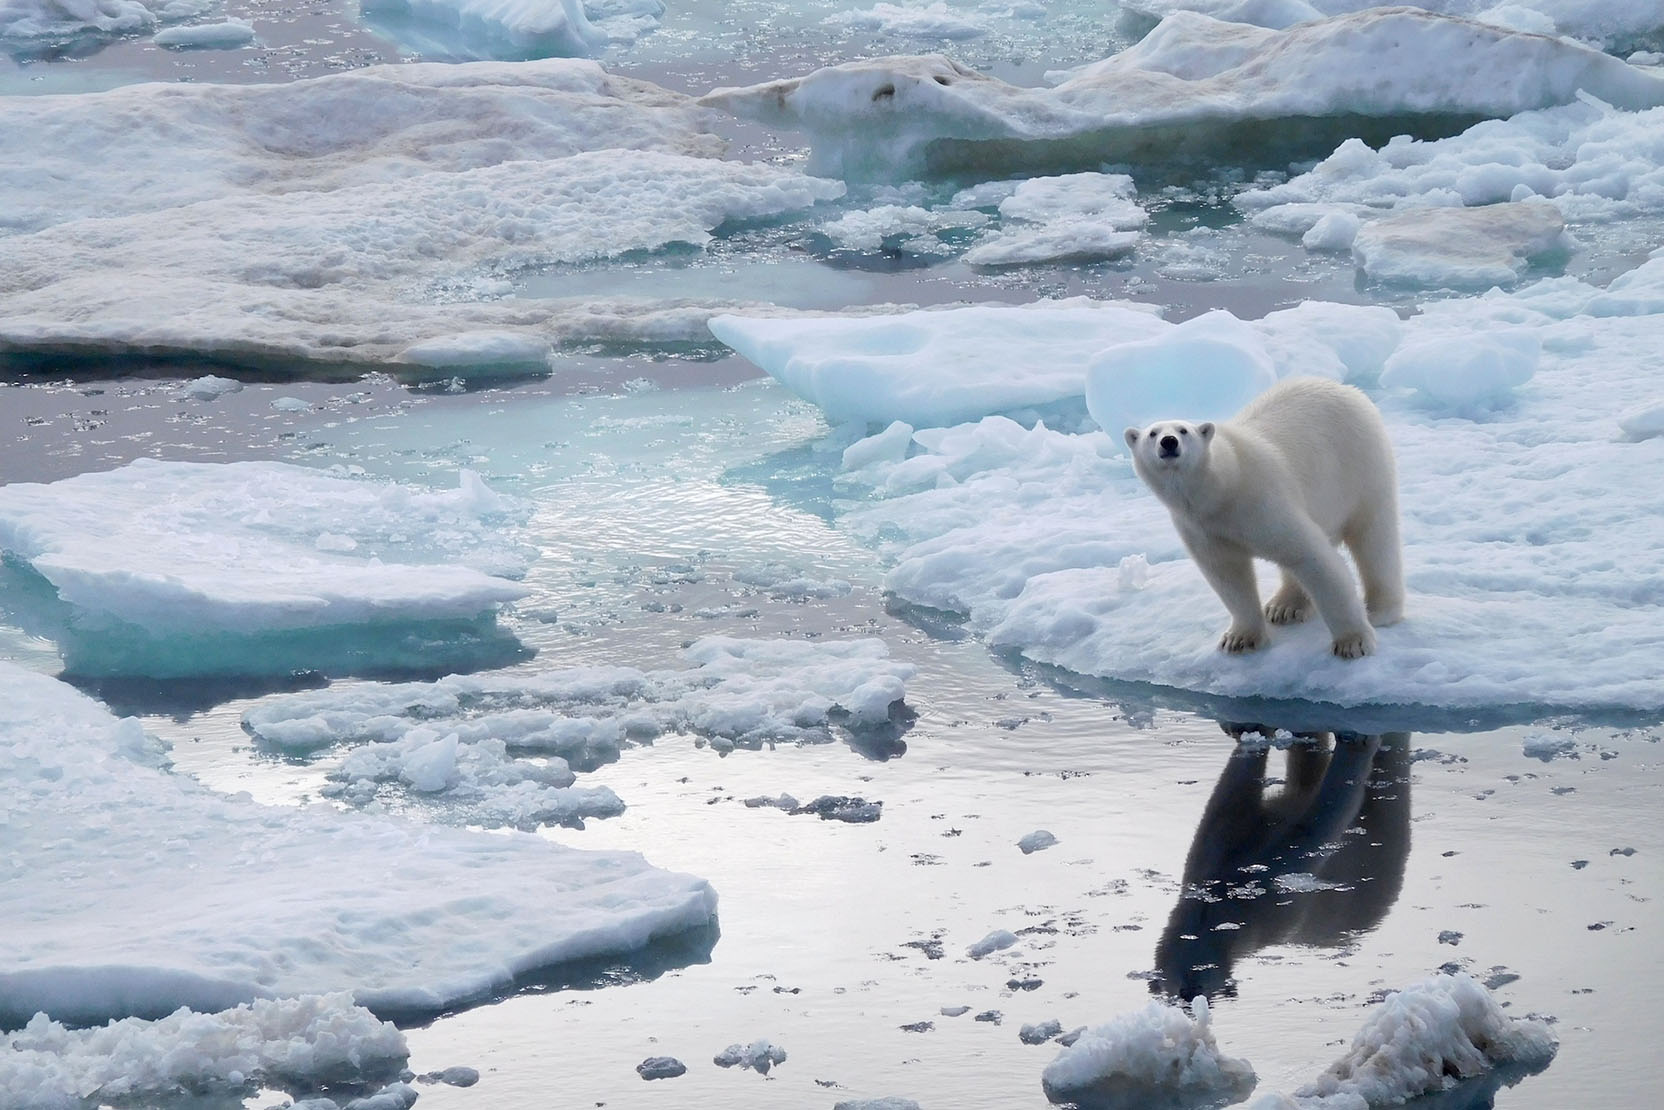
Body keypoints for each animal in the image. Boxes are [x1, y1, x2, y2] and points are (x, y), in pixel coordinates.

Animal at [1124, 377, 1403, 659]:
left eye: (1183, 430)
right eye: (1152, 433)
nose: (1169, 442)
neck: (1222, 489)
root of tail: (1345, 388)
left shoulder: (1261, 502)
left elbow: (1313, 557)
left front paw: (1353, 642)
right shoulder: (1200, 526)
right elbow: (1228, 575)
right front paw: (1239, 639)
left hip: (1361, 466)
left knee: (1374, 538)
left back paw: (1380, 609)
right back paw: (1284, 607)